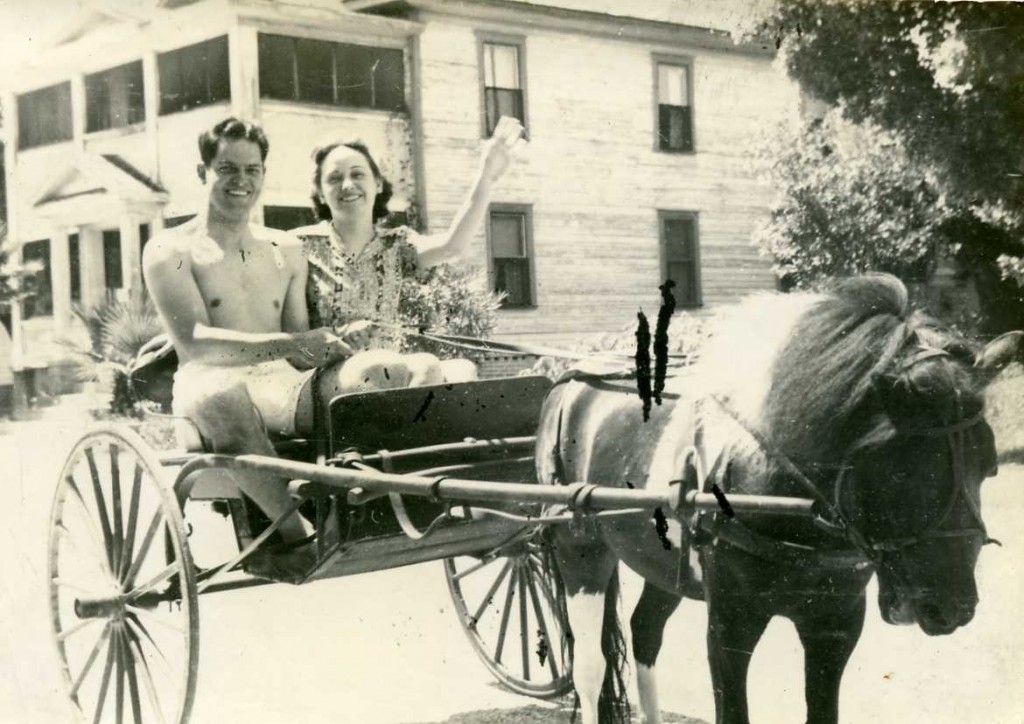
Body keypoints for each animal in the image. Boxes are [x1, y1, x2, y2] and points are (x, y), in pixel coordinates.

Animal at [540, 274, 1011, 720]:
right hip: (580, 548)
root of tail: (570, 381)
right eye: (897, 468)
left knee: (645, 633)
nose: (953, 607)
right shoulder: (730, 626)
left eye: (988, 467)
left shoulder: (834, 626)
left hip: (663, 564)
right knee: (590, 668)